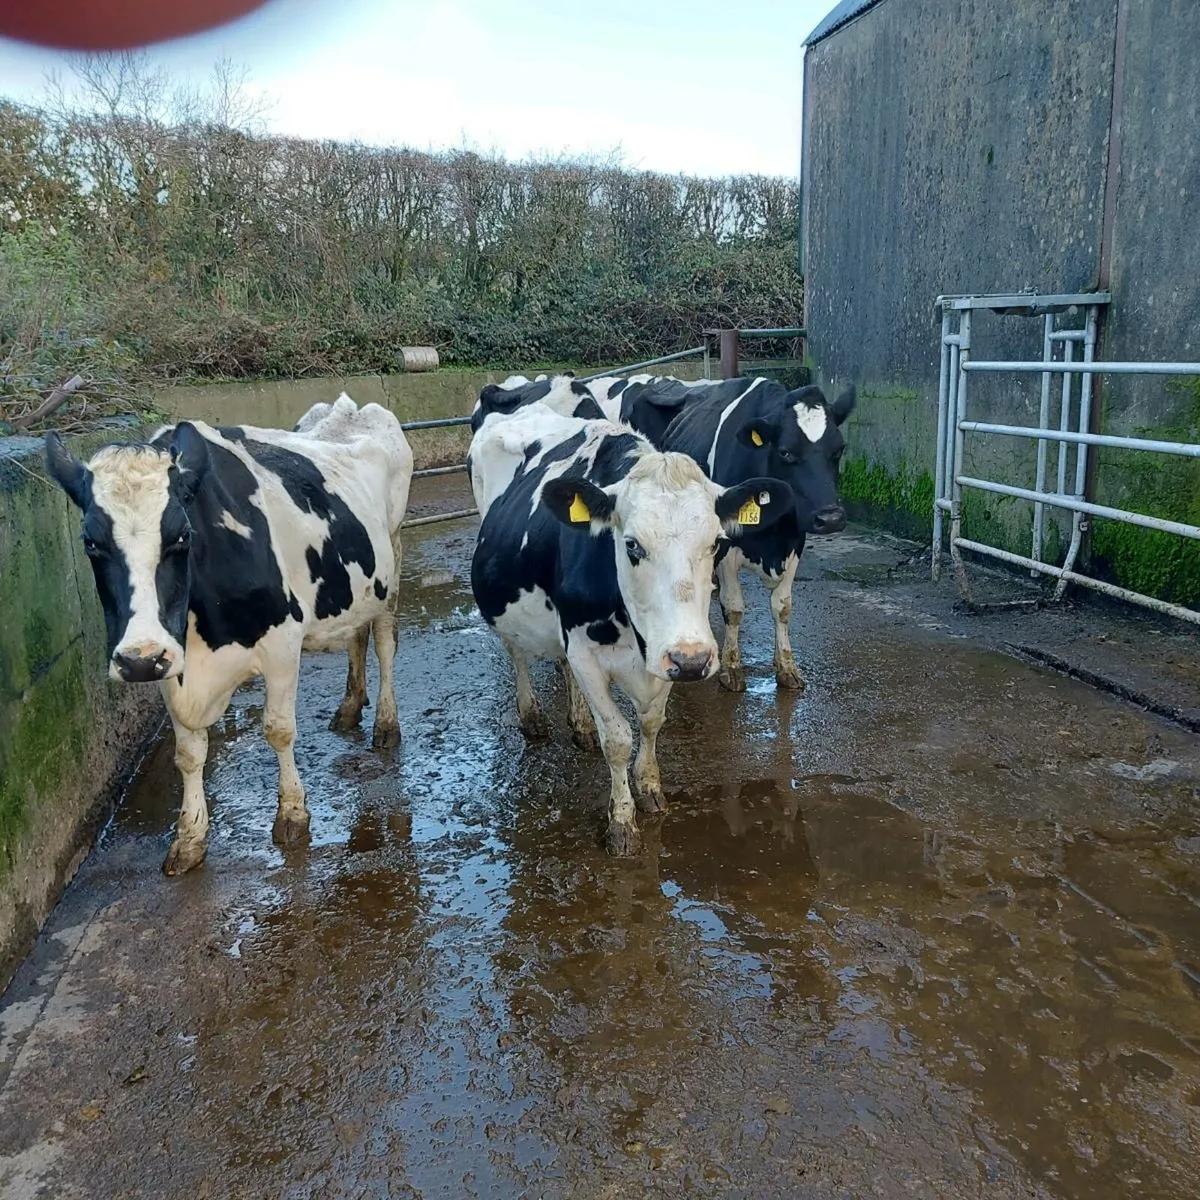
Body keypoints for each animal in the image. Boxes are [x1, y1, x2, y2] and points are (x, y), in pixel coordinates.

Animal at [44, 394, 414, 874]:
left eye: (182, 536)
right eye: (90, 542)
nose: (138, 659)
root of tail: (350, 407)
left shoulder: (282, 644)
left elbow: (278, 729)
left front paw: (292, 814)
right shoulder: (171, 660)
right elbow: (188, 752)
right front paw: (189, 836)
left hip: (393, 557)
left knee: (385, 641)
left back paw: (386, 723)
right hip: (356, 583)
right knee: (356, 634)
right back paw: (350, 706)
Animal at [469, 402, 792, 855]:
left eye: (715, 543)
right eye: (633, 545)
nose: (694, 660)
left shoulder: (665, 653)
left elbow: (652, 722)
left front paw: (650, 786)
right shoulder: (589, 654)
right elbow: (618, 739)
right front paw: (622, 821)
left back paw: (580, 723)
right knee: (516, 651)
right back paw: (531, 715)